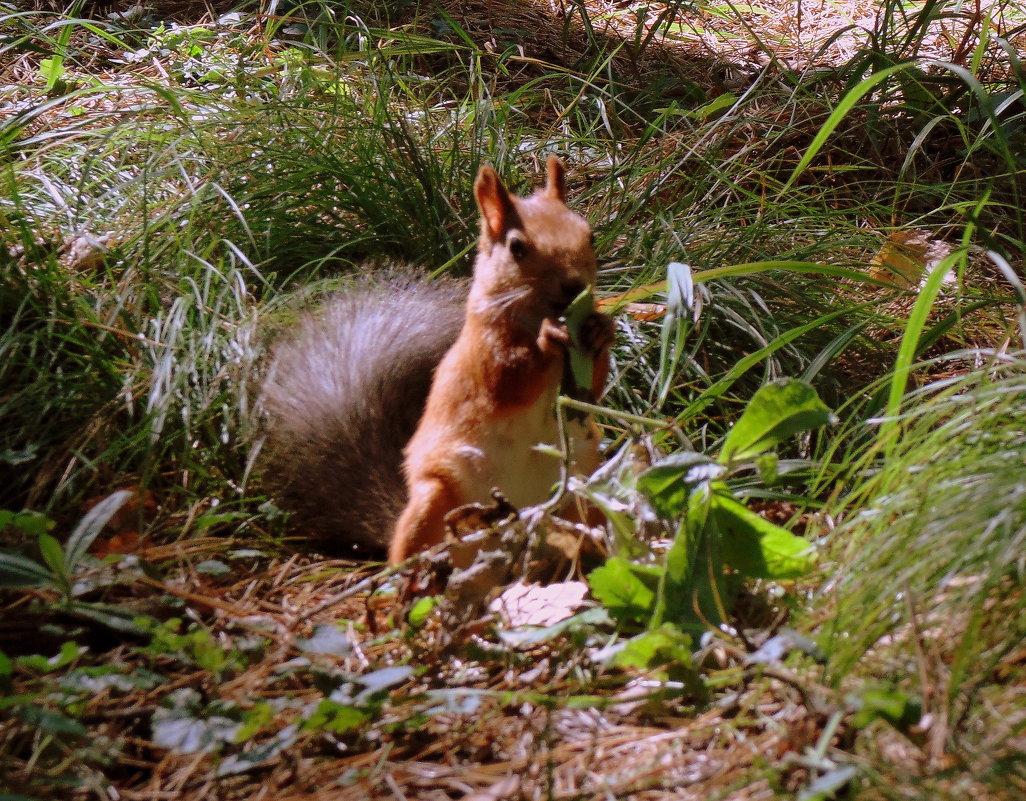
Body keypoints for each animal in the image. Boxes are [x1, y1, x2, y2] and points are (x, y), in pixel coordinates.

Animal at [260, 157, 611, 562]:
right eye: (517, 247)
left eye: (589, 235)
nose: (574, 285)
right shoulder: (480, 358)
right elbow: (507, 382)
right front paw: (546, 340)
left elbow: (592, 390)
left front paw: (602, 329)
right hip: (435, 499)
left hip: (586, 489)